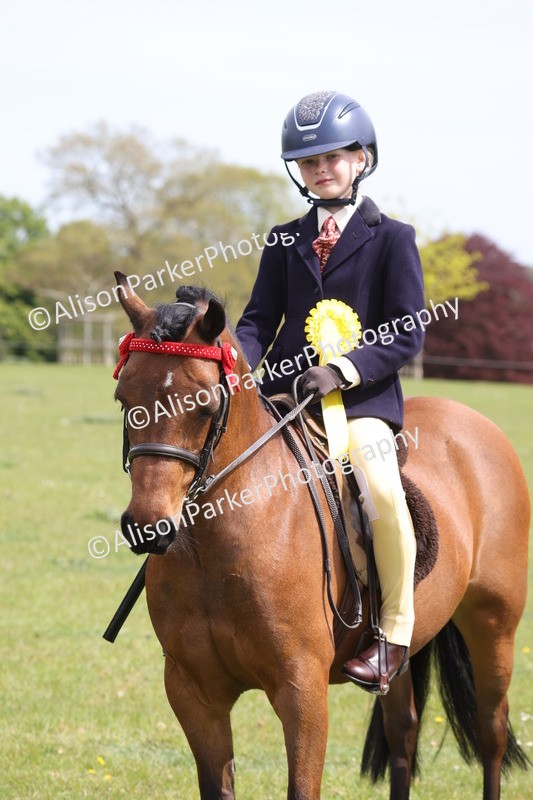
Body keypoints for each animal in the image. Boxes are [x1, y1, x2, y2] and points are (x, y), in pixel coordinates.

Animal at [112, 272, 530, 800]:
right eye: (124, 400)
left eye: (204, 406)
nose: (148, 526)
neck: (220, 548)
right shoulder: (193, 692)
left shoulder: (302, 689)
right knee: (403, 730)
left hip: (494, 623)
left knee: (489, 731)